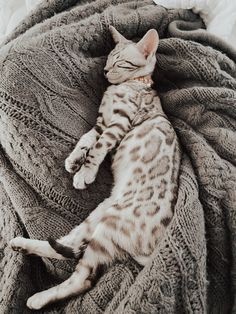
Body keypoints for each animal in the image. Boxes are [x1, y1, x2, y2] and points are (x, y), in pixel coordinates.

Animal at [8, 25, 181, 310]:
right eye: (109, 59)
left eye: (119, 62)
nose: (105, 72)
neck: (131, 84)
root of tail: (151, 250)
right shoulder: (101, 123)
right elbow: (86, 140)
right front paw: (73, 161)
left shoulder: (118, 123)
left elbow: (98, 148)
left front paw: (85, 173)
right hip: (97, 217)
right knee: (68, 247)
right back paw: (22, 245)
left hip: (108, 229)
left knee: (83, 278)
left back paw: (37, 299)